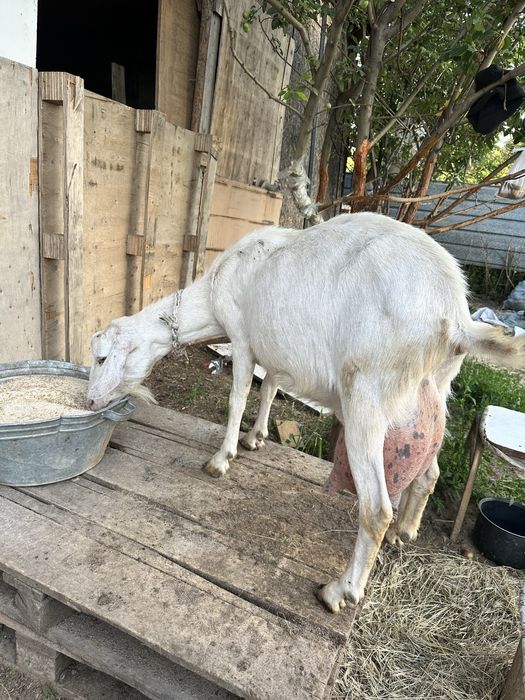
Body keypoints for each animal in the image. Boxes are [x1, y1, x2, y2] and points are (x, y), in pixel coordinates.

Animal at [87, 213, 525, 613]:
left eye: (102, 357)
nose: (90, 401)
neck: (213, 291)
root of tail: (456, 317)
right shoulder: (275, 351)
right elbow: (269, 388)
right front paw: (256, 438)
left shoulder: (243, 340)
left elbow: (238, 398)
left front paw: (222, 458)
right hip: (436, 389)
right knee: (429, 472)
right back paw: (405, 531)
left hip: (367, 393)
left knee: (375, 509)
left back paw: (340, 591)